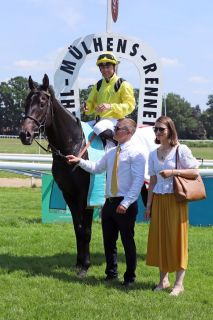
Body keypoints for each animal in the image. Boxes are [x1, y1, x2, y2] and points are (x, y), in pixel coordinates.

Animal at [19, 74, 93, 276]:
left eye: (42, 103)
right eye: (26, 102)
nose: (24, 134)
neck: (73, 147)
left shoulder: (86, 195)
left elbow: (86, 230)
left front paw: (85, 265)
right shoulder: (69, 194)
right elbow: (77, 228)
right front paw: (79, 263)